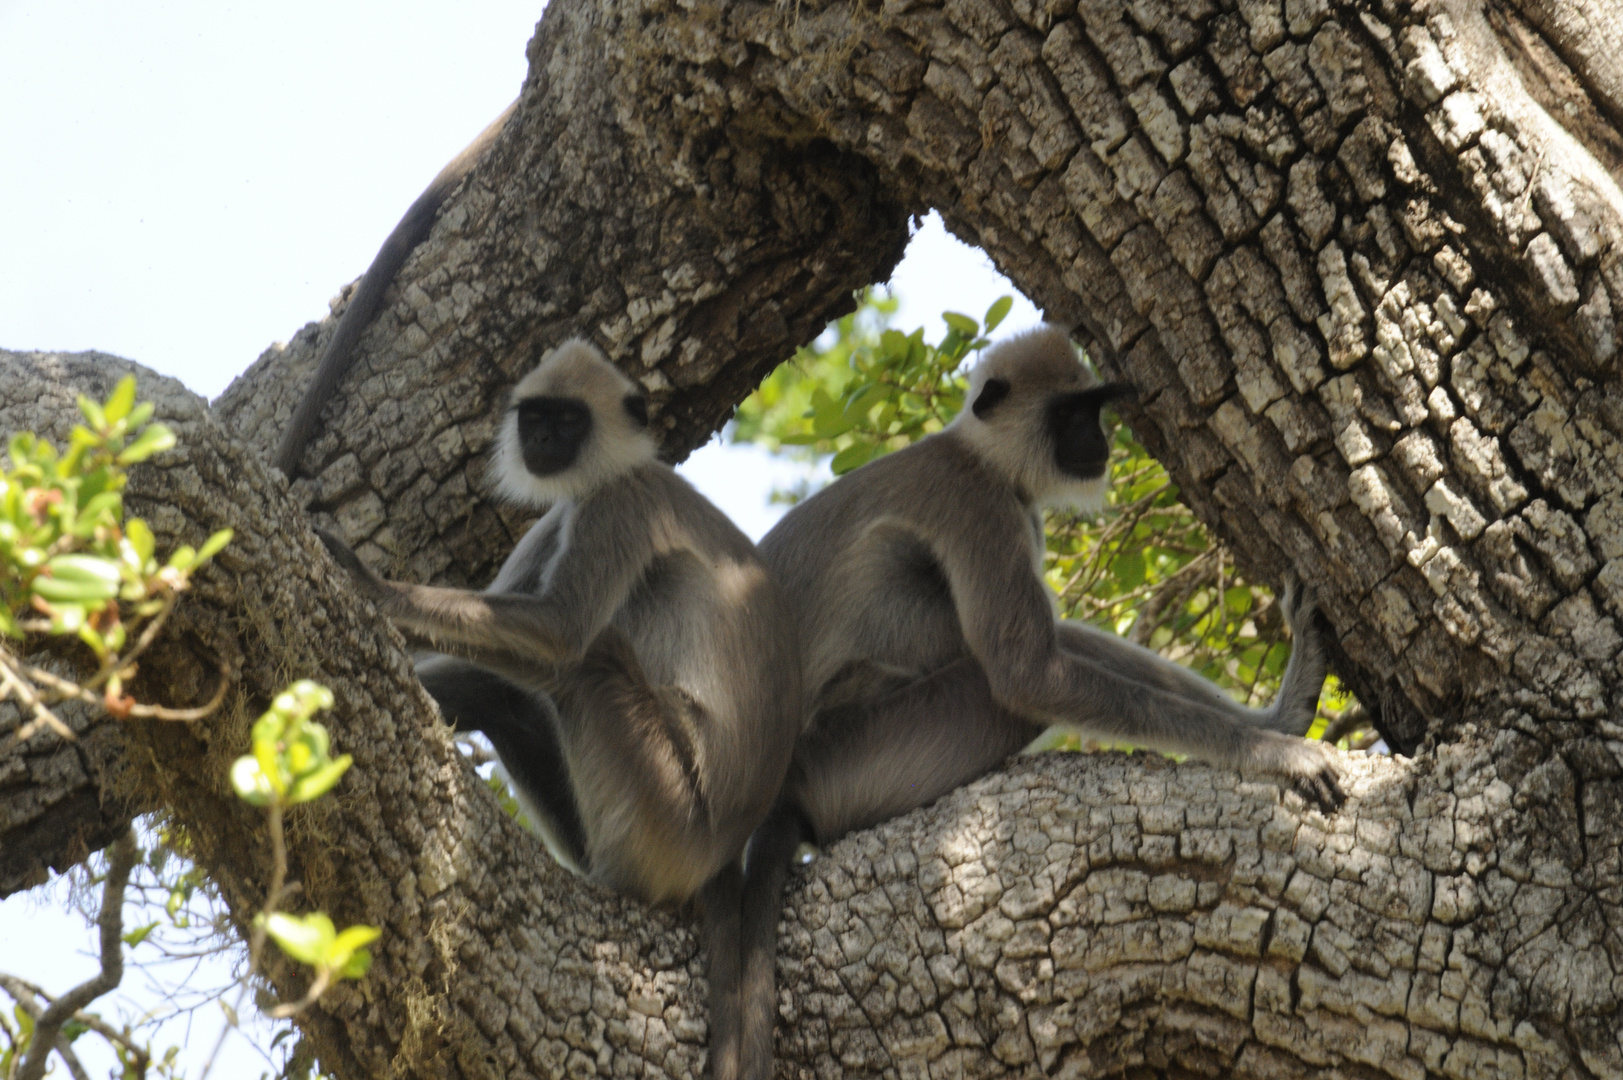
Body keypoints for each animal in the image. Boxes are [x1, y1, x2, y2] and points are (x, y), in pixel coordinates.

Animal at [314, 339, 798, 1078]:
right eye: (536, 417)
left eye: (569, 422)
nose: (541, 441)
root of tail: (720, 850)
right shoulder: (563, 515)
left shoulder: (617, 502)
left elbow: (561, 632)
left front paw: (374, 586)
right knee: (503, 690)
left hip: (665, 807)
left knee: (588, 661)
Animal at [736, 321, 1343, 1078]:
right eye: (1071, 414)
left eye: (1095, 409)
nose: (1101, 440)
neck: (981, 456)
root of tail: (782, 782)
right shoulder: (979, 505)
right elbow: (1026, 673)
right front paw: (1268, 753)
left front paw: (1277, 728)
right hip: (860, 757)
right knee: (1004, 679)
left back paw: (1288, 707)